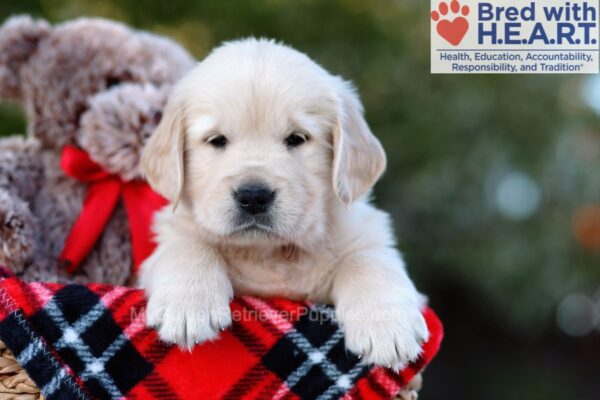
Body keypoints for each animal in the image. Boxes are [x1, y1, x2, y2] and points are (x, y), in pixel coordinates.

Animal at [141, 38, 428, 368]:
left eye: (297, 139)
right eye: (216, 140)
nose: (254, 196)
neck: (272, 253)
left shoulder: (365, 234)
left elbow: (367, 259)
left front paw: (388, 326)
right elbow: (188, 245)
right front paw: (187, 306)